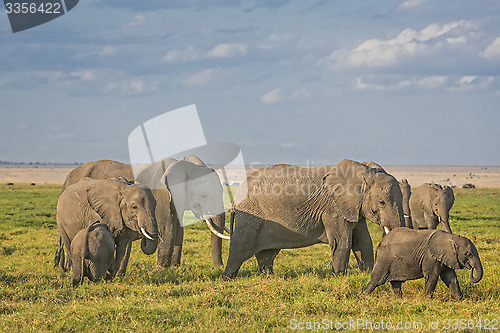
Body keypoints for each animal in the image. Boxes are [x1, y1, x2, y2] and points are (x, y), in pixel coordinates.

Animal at [59, 157, 228, 268]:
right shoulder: (161, 198)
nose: (220, 268)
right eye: (204, 195)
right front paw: (162, 270)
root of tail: (66, 178)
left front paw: (174, 268)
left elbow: (179, 232)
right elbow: (167, 231)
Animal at [224, 158, 406, 278]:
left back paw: (269, 277)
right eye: (382, 203)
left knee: (266, 254)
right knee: (239, 249)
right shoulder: (333, 208)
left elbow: (363, 241)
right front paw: (339, 277)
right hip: (249, 218)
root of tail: (235, 197)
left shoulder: (354, 208)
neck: (364, 171)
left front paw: (367, 273)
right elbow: (342, 242)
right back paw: (228, 277)